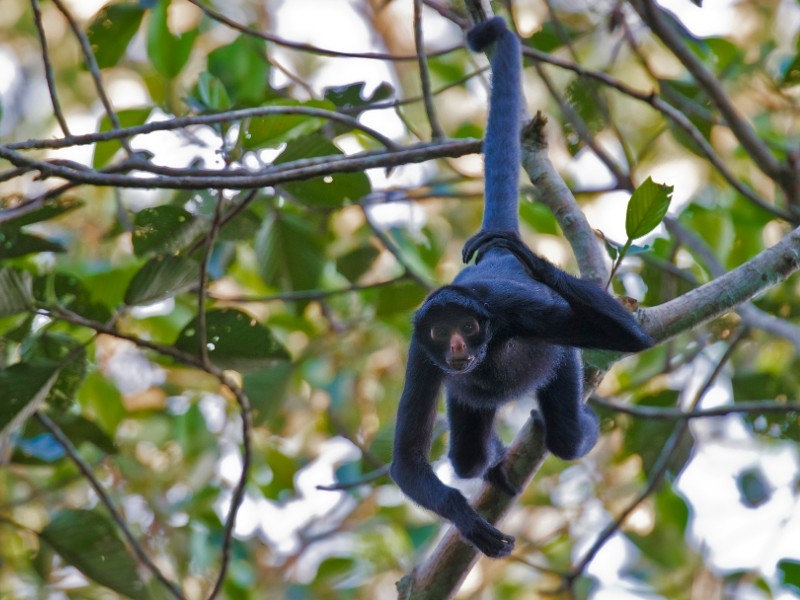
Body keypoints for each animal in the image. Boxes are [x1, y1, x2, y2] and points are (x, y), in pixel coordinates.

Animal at [389, 17, 653, 558]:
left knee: (567, 434)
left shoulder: (517, 309)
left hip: (559, 360)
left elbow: (631, 338)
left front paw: (531, 256)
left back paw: (575, 427)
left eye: (467, 326)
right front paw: (466, 519)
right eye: (440, 332)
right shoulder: (419, 353)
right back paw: (487, 460)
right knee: (466, 454)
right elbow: (406, 461)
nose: (456, 346)